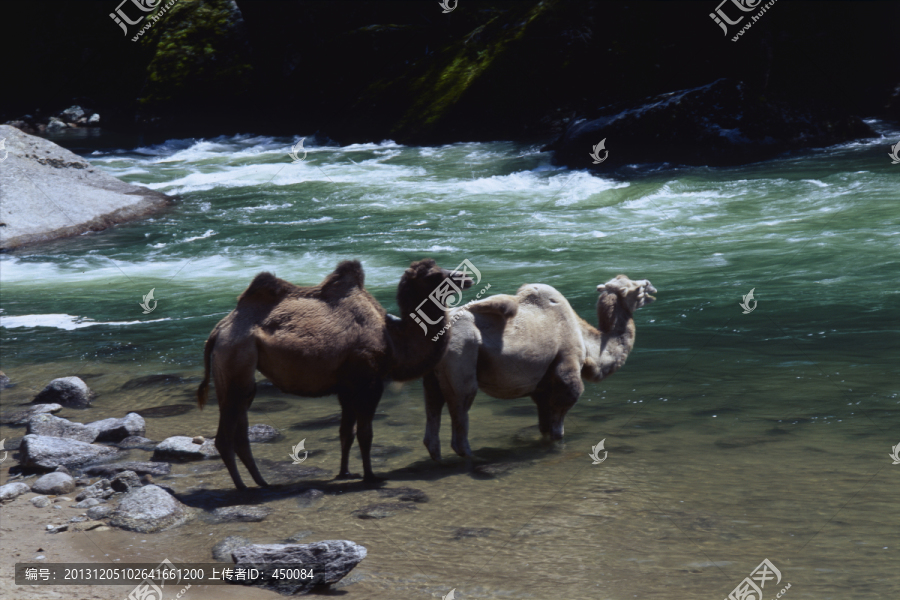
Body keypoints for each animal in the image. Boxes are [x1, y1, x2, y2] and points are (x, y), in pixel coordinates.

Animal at [198, 258, 474, 488]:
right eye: (434, 274)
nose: (467, 277)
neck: (394, 340)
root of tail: (217, 330)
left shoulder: (346, 388)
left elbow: (345, 433)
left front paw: (345, 473)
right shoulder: (369, 383)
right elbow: (365, 433)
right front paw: (370, 476)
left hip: (237, 373)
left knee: (240, 432)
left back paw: (262, 482)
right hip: (235, 358)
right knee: (224, 436)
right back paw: (243, 487)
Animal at [422, 276, 652, 460]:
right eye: (637, 288)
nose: (650, 285)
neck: (588, 345)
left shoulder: (542, 385)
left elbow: (544, 423)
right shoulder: (567, 365)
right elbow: (561, 420)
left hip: (432, 372)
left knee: (432, 405)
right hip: (462, 351)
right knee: (462, 402)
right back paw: (477, 459)